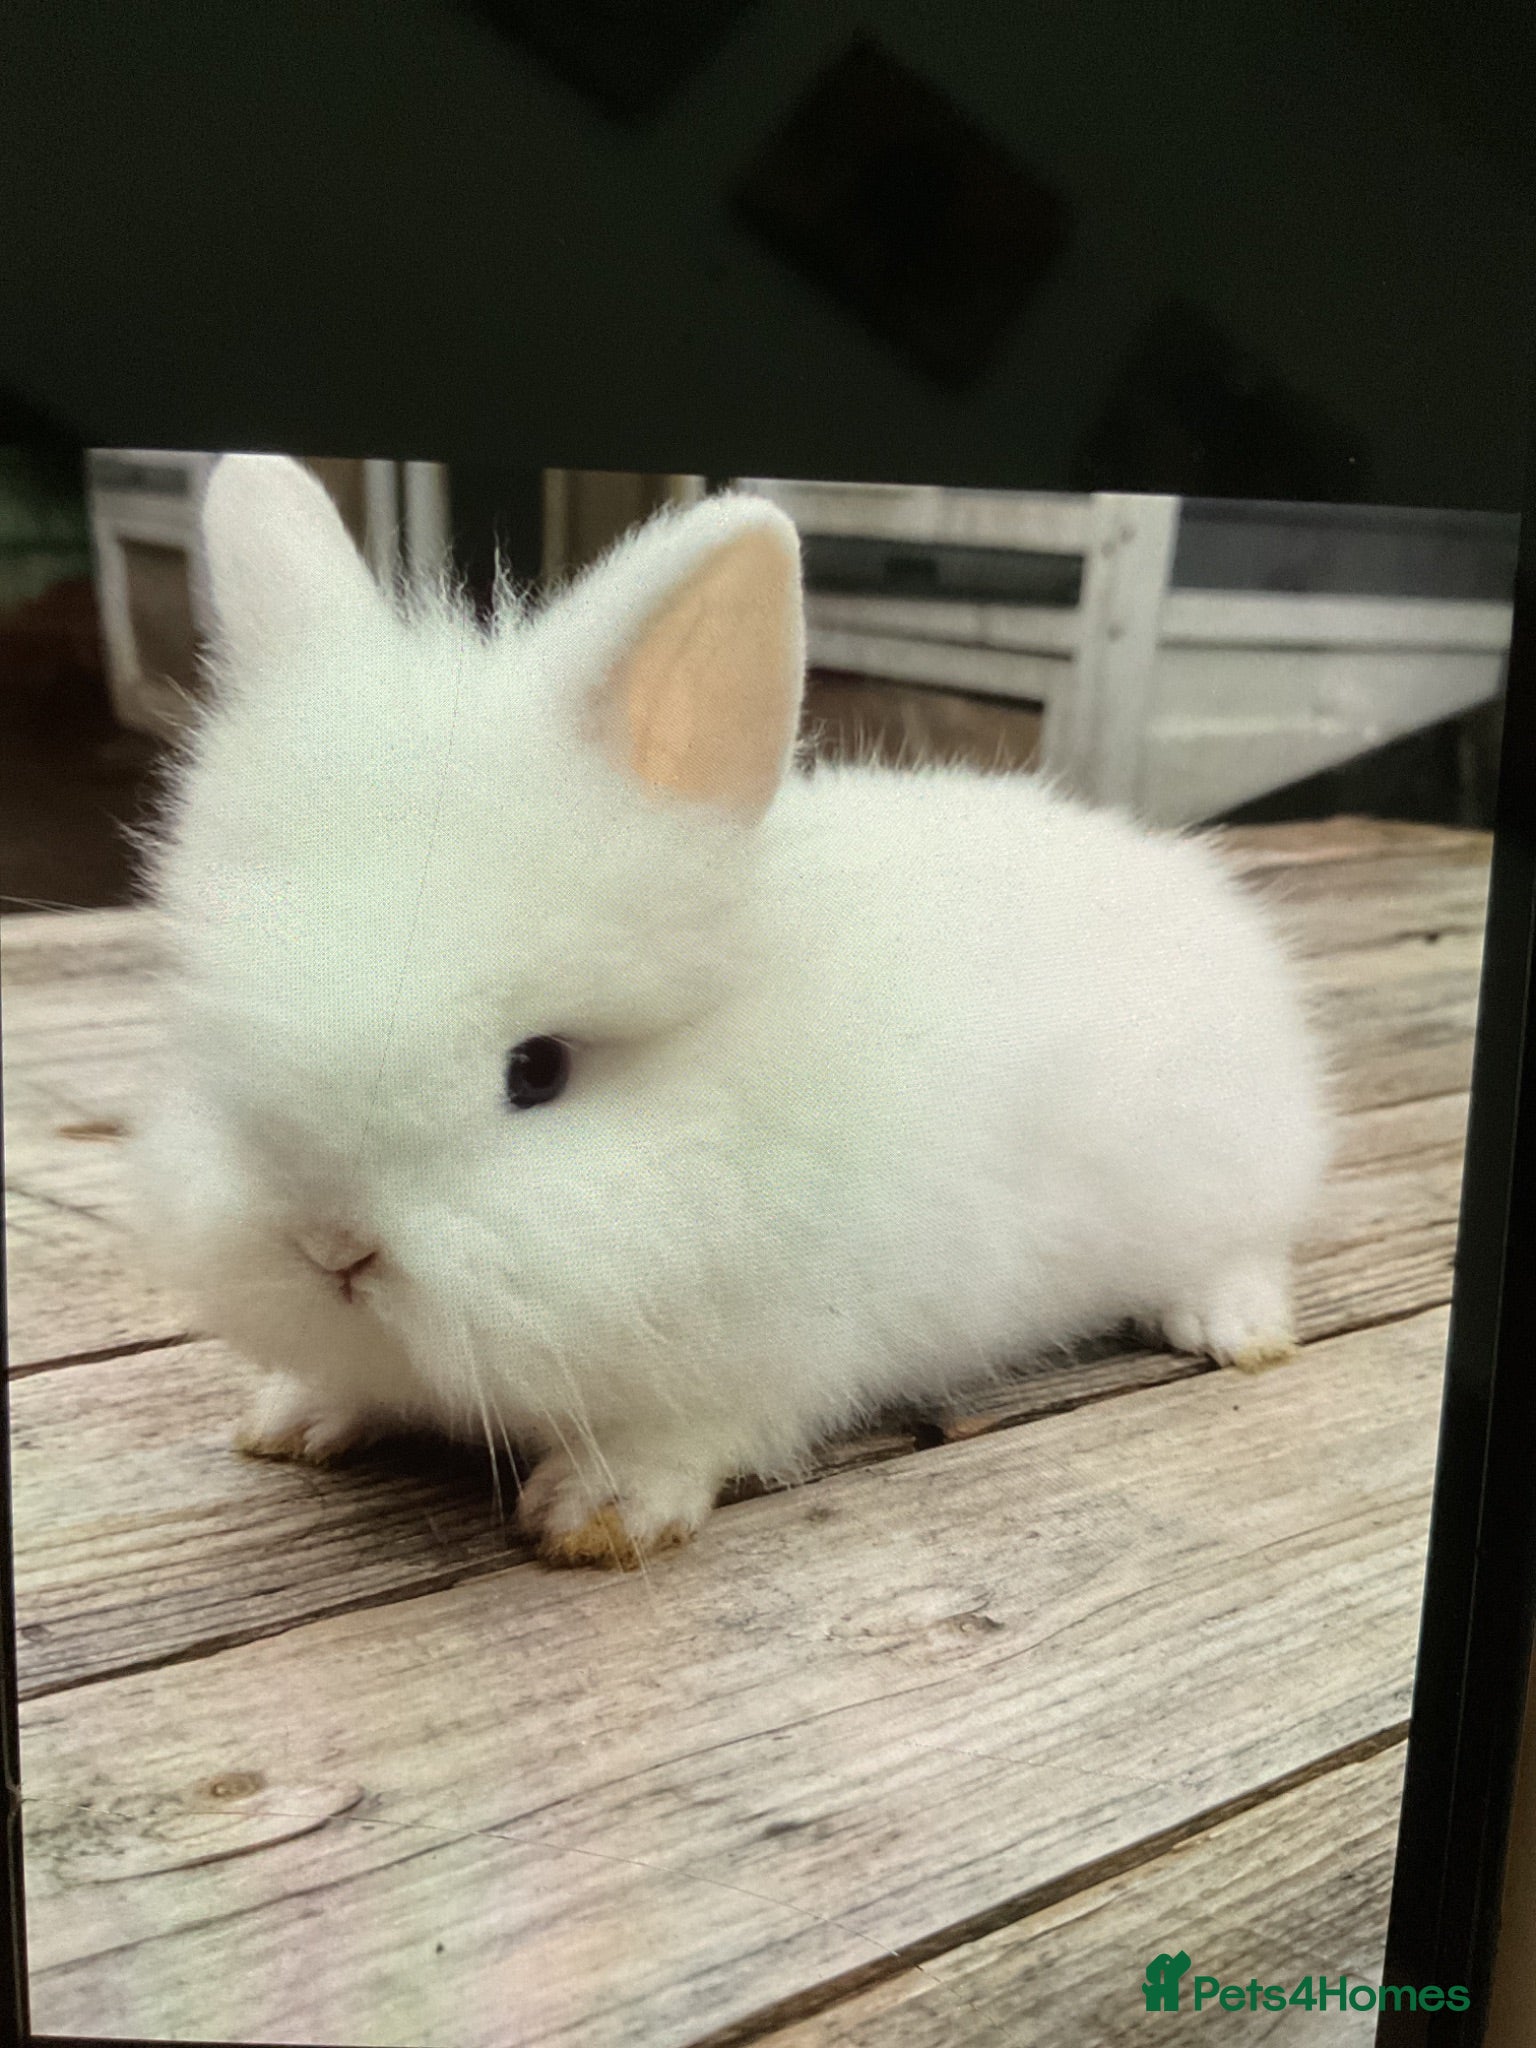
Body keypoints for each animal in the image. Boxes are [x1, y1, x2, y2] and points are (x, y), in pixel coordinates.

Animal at [132, 454, 1331, 1570]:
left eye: (537, 1069)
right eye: (211, 1034)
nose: (332, 1247)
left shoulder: (781, 1354)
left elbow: (695, 1431)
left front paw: (601, 1509)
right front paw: (295, 1414)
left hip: (1223, 1175)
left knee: (1248, 1247)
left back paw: (1230, 1329)